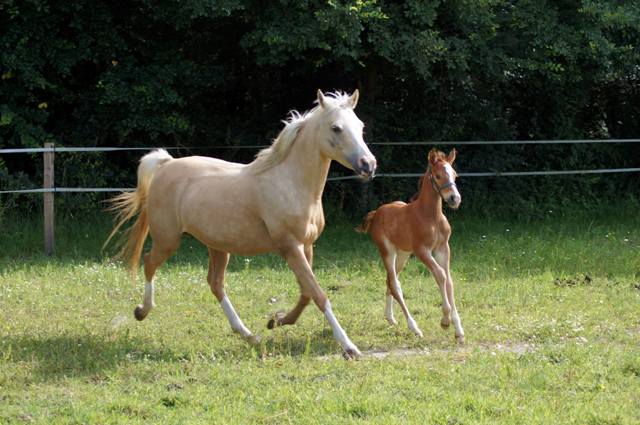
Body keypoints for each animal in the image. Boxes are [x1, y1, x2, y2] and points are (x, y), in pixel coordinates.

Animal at [105, 89, 376, 358]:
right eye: (336, 128)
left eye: (361, 126)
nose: (368, 164)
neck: (290, 182)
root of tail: (167, 164)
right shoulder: (290, 247)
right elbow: (318, 294)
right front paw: (349, 347)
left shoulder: (306, 246)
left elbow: (306, 294)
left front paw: (276, 321)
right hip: (167, 239)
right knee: (149, 263)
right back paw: (142, 311)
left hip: (217, 246)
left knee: (215, 284)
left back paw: (249, 335)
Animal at [358, 148, 462, 342]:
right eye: (438, 176)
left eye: (454, 175)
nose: (454, 198)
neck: (431, 216)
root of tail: (376, 213)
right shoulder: (422, 251)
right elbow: (440, 275)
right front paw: (445, 321)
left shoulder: (443, 248)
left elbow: (449, 280)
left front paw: (458, 330)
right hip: (388, 251)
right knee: (394, 284)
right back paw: (414, 328)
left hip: (403, 254)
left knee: (390, 281)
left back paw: (390, 318)